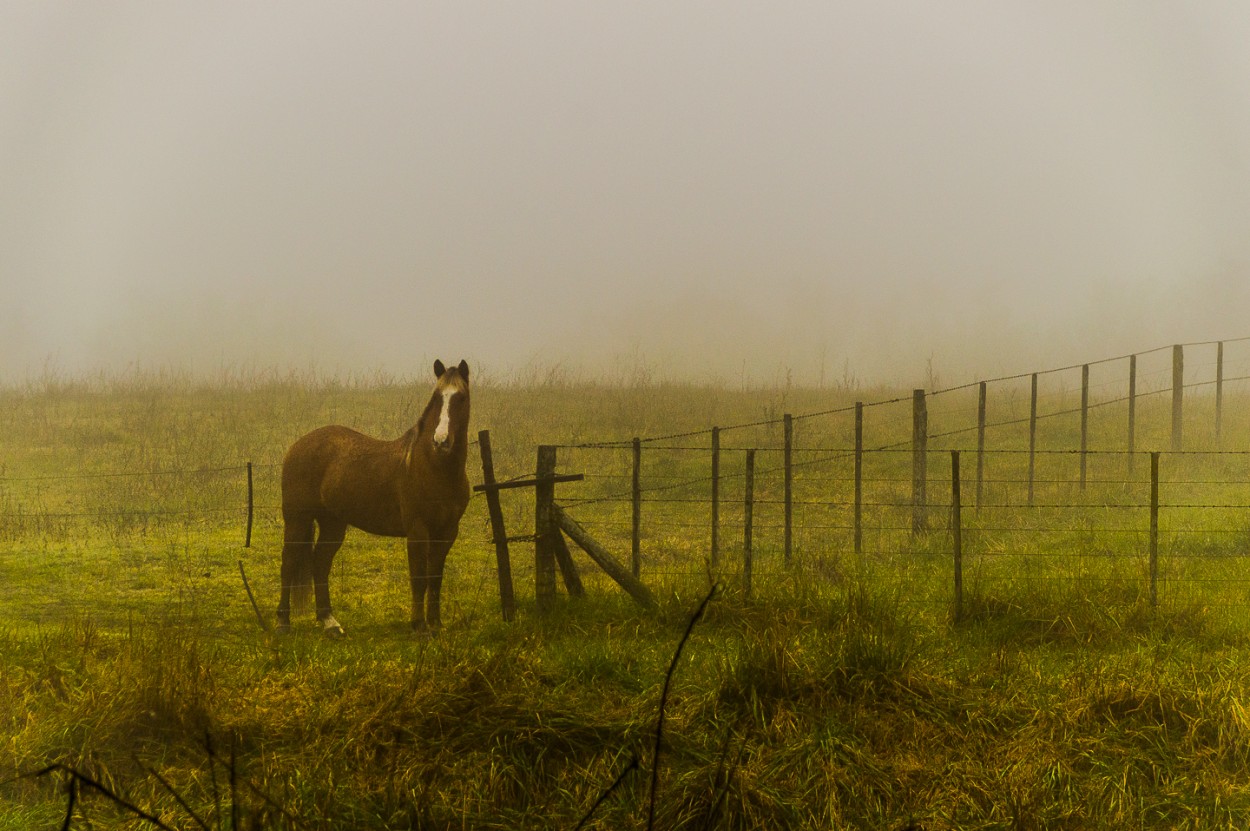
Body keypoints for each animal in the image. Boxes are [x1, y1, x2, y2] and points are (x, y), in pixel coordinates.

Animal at [276, 357, 470, 634]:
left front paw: (436, 624)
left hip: (333, 523)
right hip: (297, 519)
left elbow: (435, 579)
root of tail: (297, 445)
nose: (441, 441)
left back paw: (329, 622)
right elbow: (419, 579)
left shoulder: (447, 532)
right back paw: (283, 622)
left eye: (461, 397)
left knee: (320, 563)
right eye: (436, 397)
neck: (435, 467)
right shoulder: (418, 530)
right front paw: (419, 625)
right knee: (289, 563)